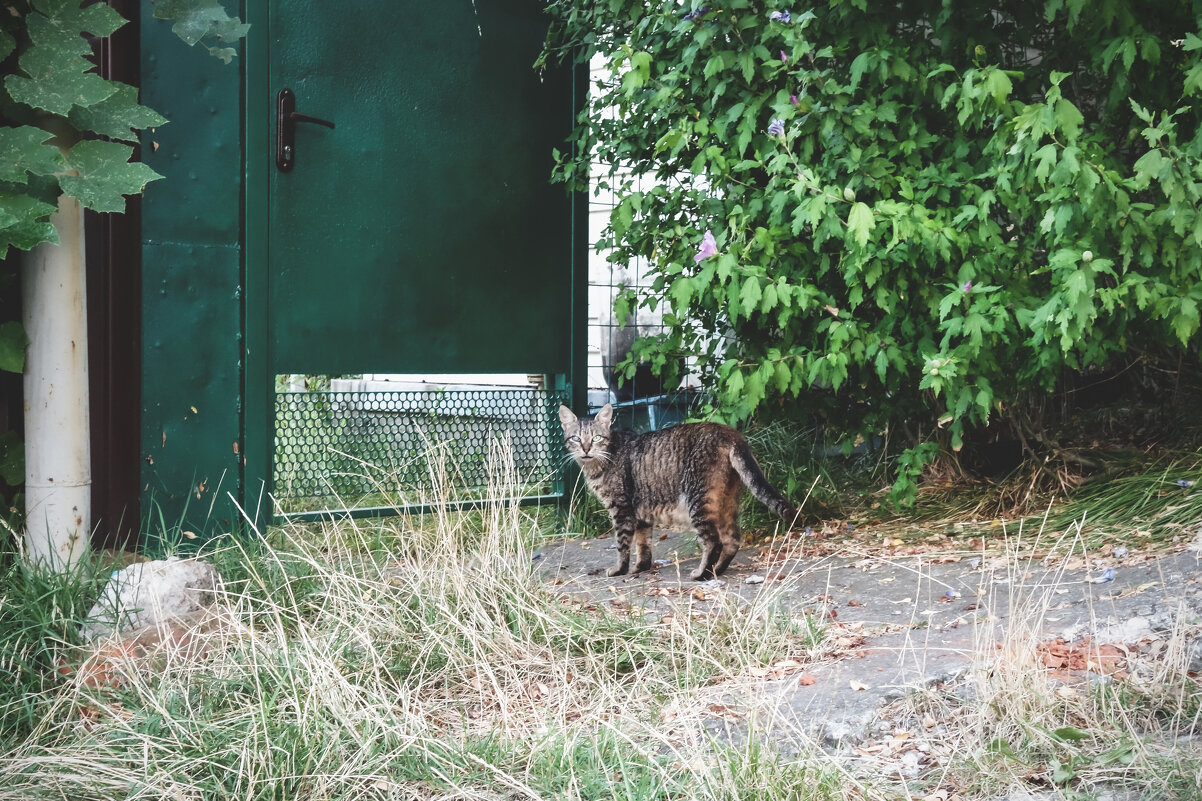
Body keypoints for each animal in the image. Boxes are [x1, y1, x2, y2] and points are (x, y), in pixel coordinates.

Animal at [560, 401, 802, 577]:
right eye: (576, 438)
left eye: (596, 438)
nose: (586, 448)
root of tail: (729, 433)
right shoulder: (640, 512)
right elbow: (643, 544)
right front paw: (640, 567)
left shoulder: (621, 509)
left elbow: (623, 544)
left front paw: (620, 569)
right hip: (726, 501)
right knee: (732, 540)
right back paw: (716, 570)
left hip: (698, 500)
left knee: (713, 542)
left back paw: (701, 574)